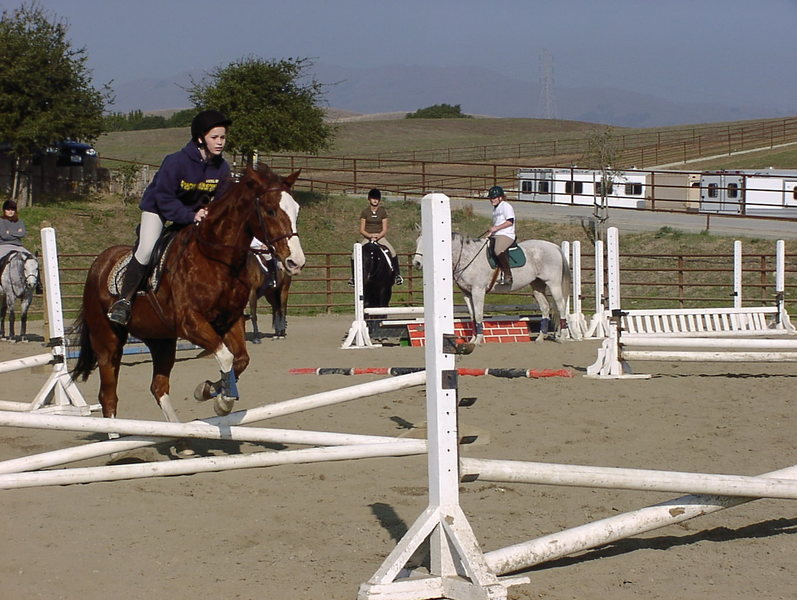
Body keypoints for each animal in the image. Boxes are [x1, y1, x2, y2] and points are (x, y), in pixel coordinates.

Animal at [247, 191, 302, 342]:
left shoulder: (252, 291)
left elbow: (253, 313)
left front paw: (256, 337)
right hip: (270, 293)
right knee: (276, 309)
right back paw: (277, 333)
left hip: (283, 290)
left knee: (282, 309)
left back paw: (281, 333)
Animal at [413, 231, 571, 344]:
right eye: (417, 242)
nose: (416, 263)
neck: (467, 256)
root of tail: (554, 247)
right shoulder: (467, 293)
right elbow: (472, 316)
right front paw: (472, 339)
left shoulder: (478, 291)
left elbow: (478, 314)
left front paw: (478, 340)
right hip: (537, 285)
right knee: (545, 307)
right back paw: (540, 337)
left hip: (553, 284)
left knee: (561, 306)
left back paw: (562, 336)